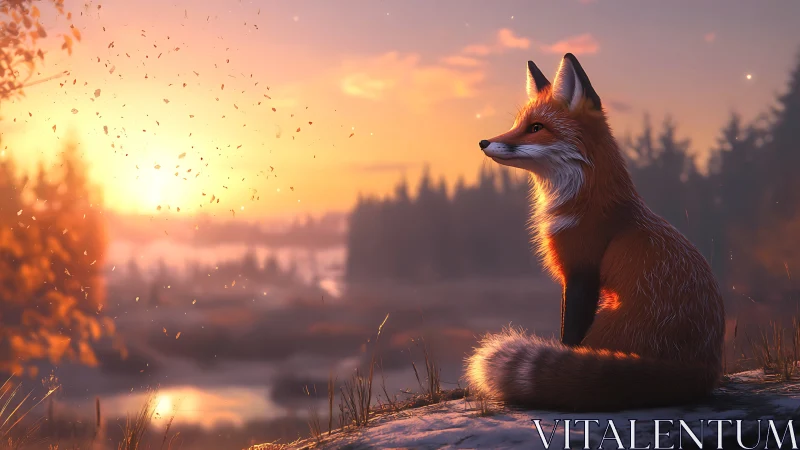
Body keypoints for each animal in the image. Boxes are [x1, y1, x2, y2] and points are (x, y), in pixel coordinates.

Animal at [465, 53, 725, 411]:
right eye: (519, 124)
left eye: (536, 128)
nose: (483, 142)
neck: (584, 203)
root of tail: (704, 369)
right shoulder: (570, 275)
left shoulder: (581, 270)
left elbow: (568, 337)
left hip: (605, 322)